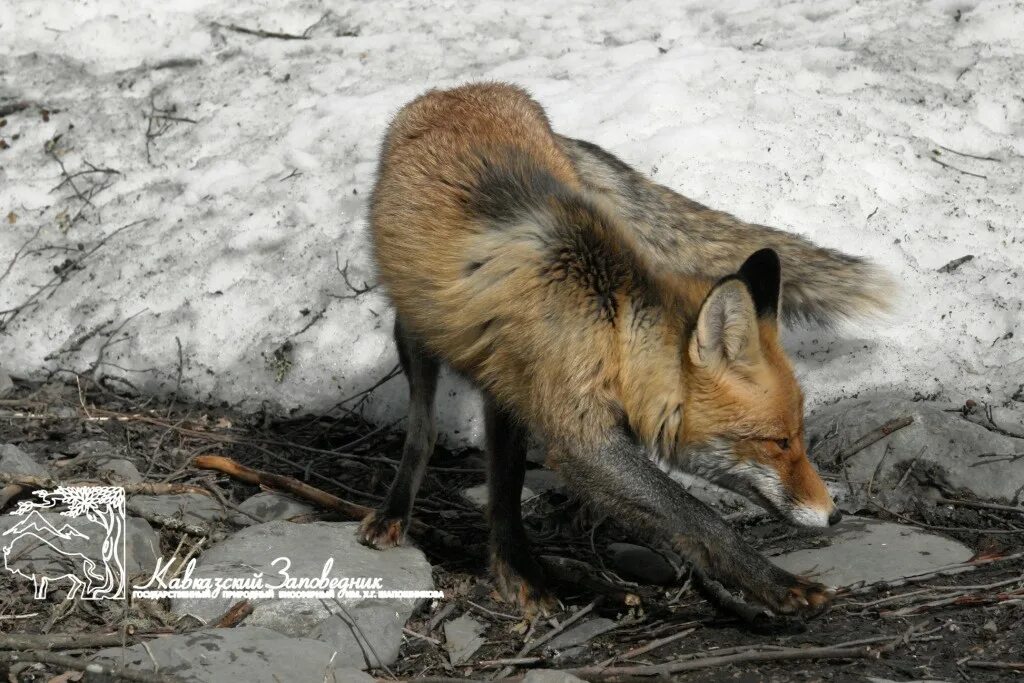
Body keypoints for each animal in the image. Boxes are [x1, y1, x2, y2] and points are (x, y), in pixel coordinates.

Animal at [358, 81, 888, 618]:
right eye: (778, 442)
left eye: (799, 435)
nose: (835, 514)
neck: (607, 325)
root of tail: (461, 89)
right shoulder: (580, 435)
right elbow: (696, 515)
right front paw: (776, 583)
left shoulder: (535, 397)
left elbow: (509, 486)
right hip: (417, 330)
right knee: (422, 428)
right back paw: (400, 513)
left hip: (499, 378)